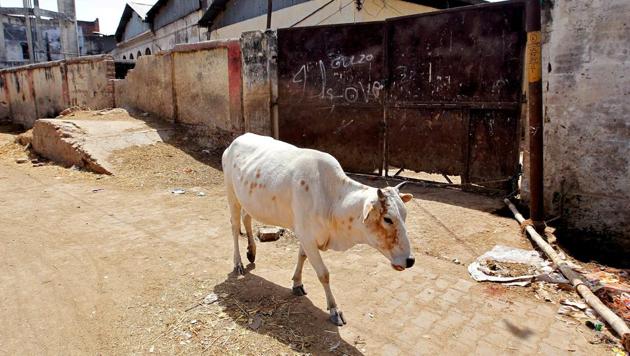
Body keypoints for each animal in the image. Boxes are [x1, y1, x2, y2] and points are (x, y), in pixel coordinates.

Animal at [222, 134, 414, 326]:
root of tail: (237, 140)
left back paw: (251, 252)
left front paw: (297, 284)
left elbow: (302, 256)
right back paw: (238, 263)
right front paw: (334, 310)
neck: (331, 200)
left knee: (246, 218)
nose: (410, 260)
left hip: (248, 200)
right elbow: (323, 274)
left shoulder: (306, 235)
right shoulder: (306, 236)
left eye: (404, 214)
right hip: (232, 195)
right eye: (387, 219)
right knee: (234, 226)